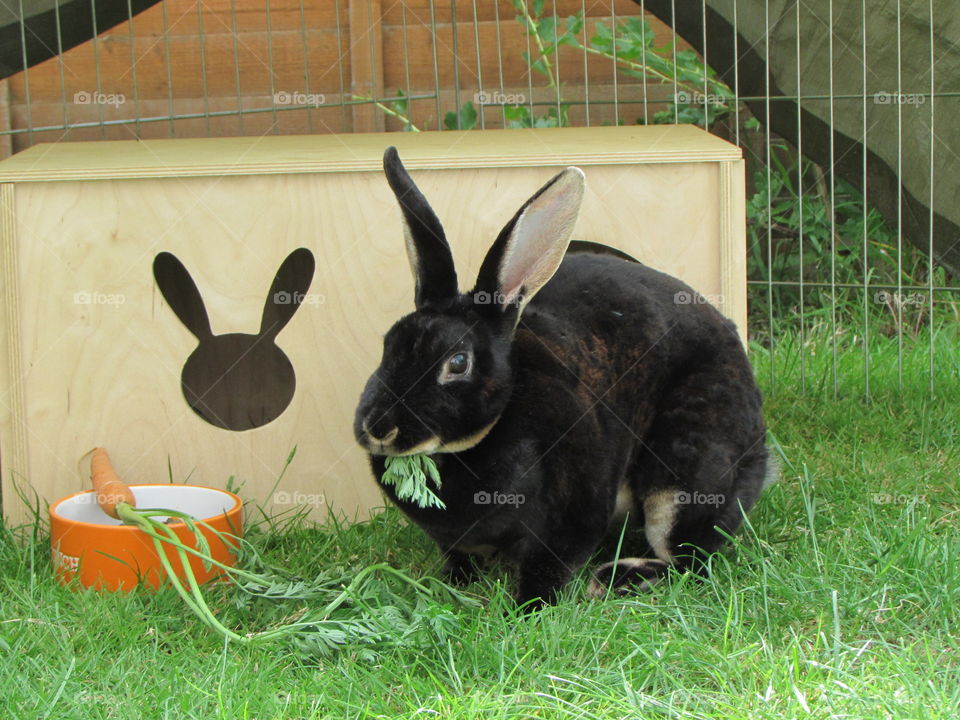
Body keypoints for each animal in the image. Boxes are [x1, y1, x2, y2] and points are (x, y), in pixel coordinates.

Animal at [352, 148, 772, 608]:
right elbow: (458, 559)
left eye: (458, 363)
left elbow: (548, 570)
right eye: (389, 344)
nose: (378, 428)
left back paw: (616, 578)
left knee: (690, 558)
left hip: (684, 477)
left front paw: (524, 610)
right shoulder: (454, 542)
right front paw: (451, 584)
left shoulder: (570, 519)